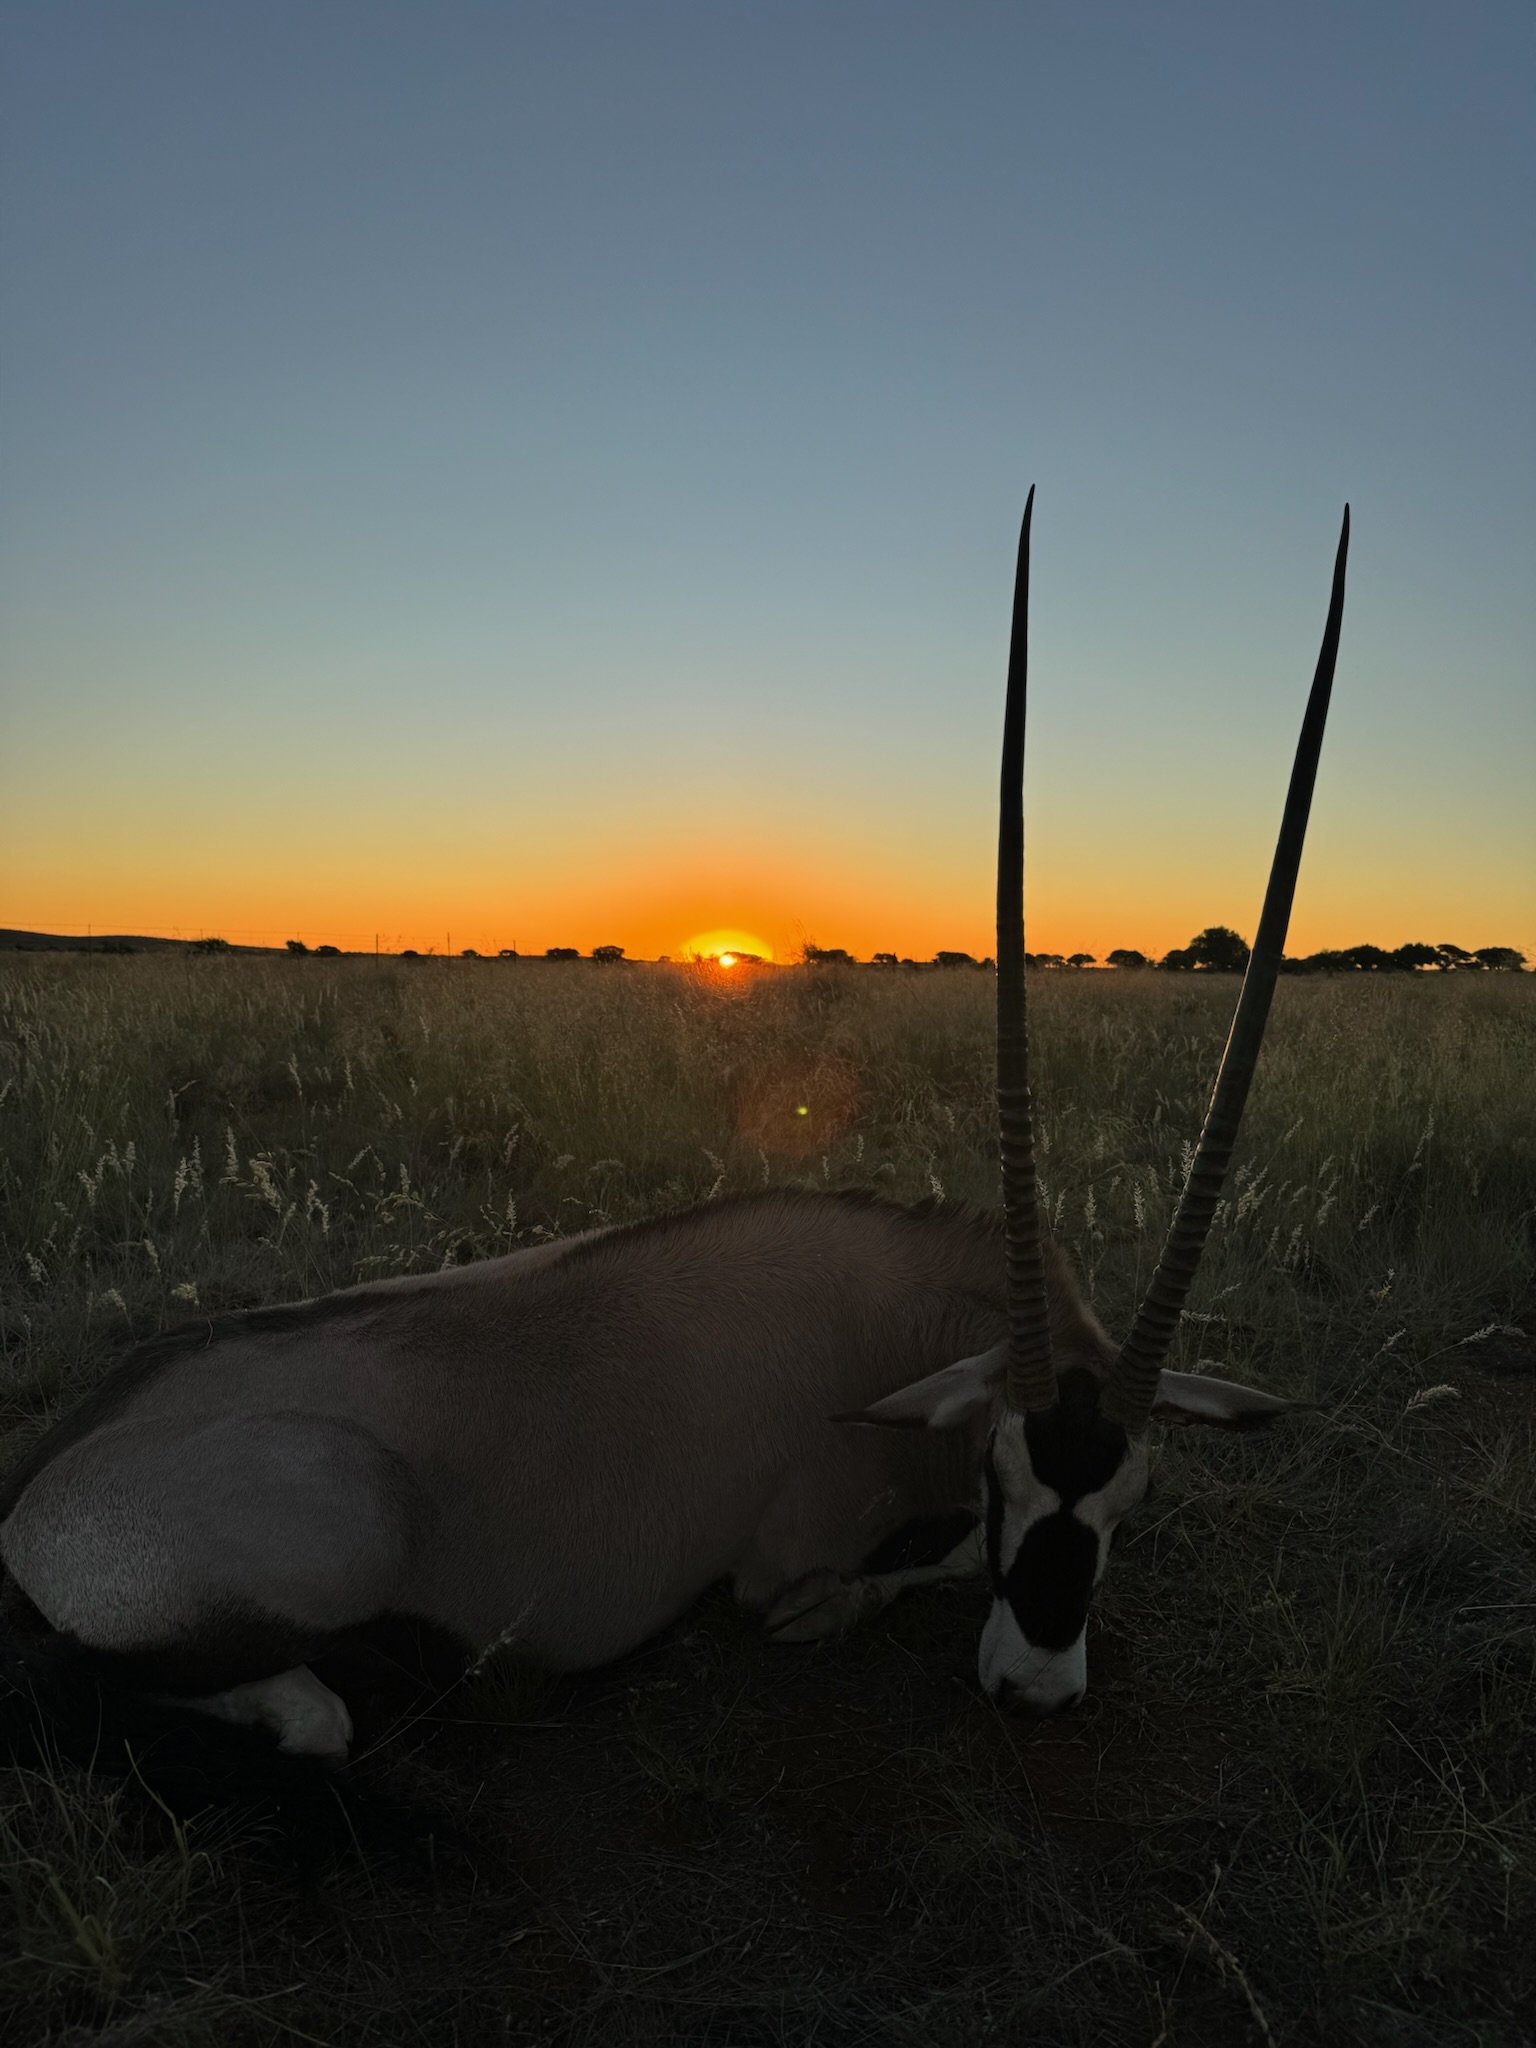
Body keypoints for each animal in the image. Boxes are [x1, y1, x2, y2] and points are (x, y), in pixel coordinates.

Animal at [0, 498, 1348, 1761]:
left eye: (1133, 1493)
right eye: (999, 1470)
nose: (1035, 1691)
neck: (897, 1314)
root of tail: (34, 1505)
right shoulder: (787, 1558)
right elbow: (922, 1566)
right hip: (350, 1517)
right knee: (278, 1708)